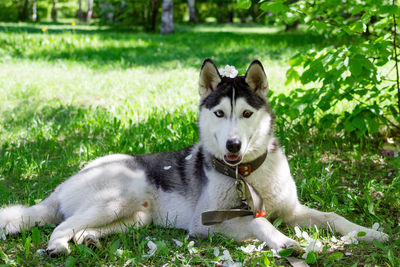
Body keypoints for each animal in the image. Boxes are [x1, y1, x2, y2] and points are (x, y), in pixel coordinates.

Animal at [0, 58, 388, 255]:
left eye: (246, 113)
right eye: (219, 114)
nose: (233, 146)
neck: (246, 175)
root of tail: (67, 182)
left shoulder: (292, 211)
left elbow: (333, 216)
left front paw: (368, 233)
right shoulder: (211, 222)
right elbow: (258, 222)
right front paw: (285, 241)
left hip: (135, 218)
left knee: (81, 226)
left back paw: (87, 238)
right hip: (119, 195)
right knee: (60, 225)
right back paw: (58, 246)